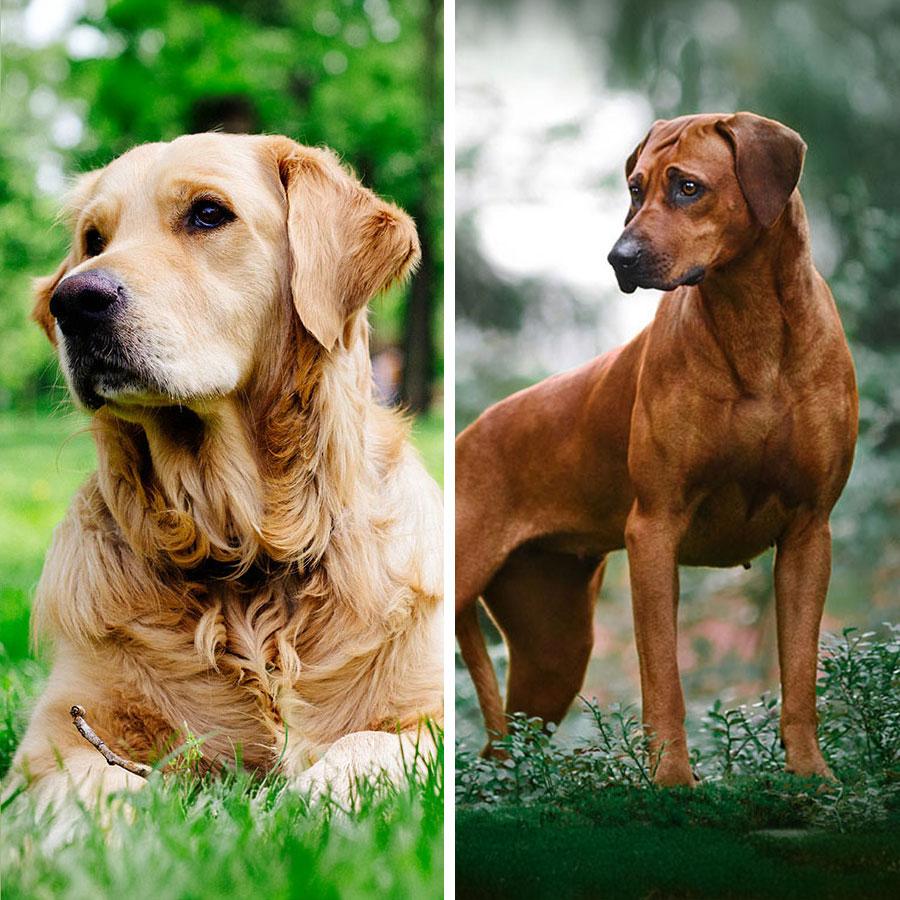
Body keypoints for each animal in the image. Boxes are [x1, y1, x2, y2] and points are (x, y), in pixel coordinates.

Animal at [7, 132, 442, 816]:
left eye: (208, 214)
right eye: (93, 239)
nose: (72, 301)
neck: (244, 548)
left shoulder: (427, 712)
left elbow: (368, 744)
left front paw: (312, 801)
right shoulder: (57, 735)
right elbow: (87, 788)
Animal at [458, 114, 856, 788]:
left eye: (688, 187)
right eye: (635, 189)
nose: (618, 258)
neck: (752, 322)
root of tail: (468, 434)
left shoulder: (810, 531)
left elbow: (800, 674)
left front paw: (811, 777)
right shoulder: (654, 529)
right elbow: (663, 678)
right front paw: (672, 782)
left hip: (554, 645)